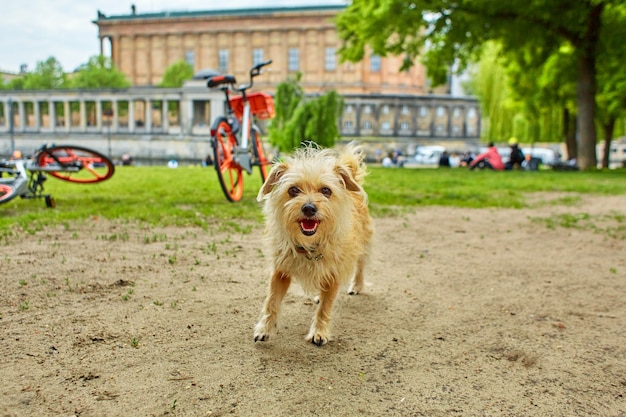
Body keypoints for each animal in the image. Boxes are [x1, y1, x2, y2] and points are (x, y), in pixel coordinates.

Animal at [252, 143, 370, 344]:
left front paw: (319, 331)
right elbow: (271, 301)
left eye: (326, 191)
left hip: (363, 245)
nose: (309, 208)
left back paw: (356, 286)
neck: (309, 245)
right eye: (293, 190)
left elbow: (325, 307)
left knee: (360, 267)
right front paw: (264, 328)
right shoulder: (280, 271)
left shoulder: (333, 274)